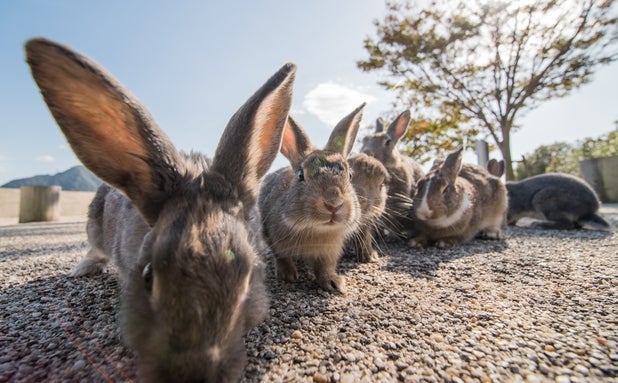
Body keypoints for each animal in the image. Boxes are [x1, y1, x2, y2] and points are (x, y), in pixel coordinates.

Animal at [256, 105, 364, 294]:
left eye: (350, 175)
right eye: (301, 175)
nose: (333, 204)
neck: (315, 229)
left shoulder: (329, 252)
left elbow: (325, 267)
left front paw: (334, 283)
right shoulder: (274, 239)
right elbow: (281, 256)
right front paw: (288, 274)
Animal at [356, 111, 424, 242]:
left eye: (387, 142)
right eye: (365, 140)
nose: (366, 153)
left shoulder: (398, 202)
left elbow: (394, 220)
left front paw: (392, 237)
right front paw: (376, 236)